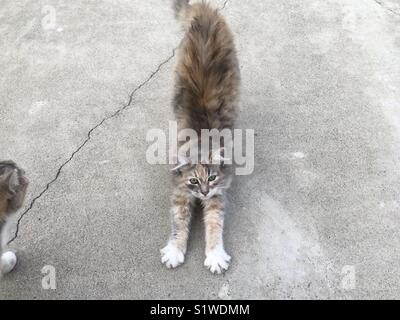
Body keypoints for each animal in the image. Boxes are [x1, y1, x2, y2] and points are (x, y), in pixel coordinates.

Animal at [160, 1, 241, 274]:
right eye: (194, 181)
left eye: (212, 177)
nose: (203, 193)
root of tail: (204, 11)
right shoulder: (180, 195)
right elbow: (178, 224)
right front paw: (175, 250)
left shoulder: (218, 195)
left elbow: (215, 225)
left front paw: (215, 255)